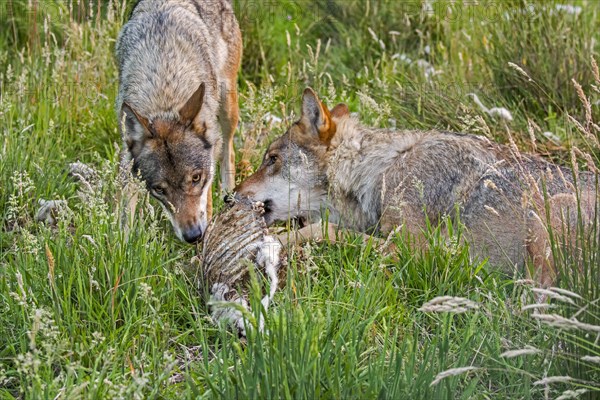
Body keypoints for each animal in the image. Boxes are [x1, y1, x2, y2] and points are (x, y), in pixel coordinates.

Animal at [115, 0, 241, 242]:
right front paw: (122, 246)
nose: (193, 235)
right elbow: (125, 211)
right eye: (160, 190)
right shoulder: (128, 160)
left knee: (228, 151)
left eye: (196, 178)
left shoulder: (207, 169)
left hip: (227, 106)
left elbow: (206, 205)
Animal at [237, 86, 596, 284]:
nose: (230, 197)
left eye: (271, 159)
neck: (381, 169)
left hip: (547, 215)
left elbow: (322, 230)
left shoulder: (416, 251)